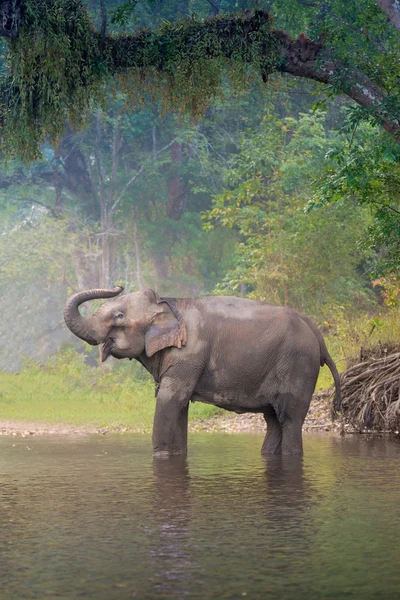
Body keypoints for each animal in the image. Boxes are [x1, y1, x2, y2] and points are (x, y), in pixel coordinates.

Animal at [64, 288, 340, 458]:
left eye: (119, 316)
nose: (118, 285)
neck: (169, 303)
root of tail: (318, 335)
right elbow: (179, 406)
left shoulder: (189, 353)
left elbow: (170, 400)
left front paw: (160, 456)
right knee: (273, 420)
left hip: (298, 366)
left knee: (290, 419)